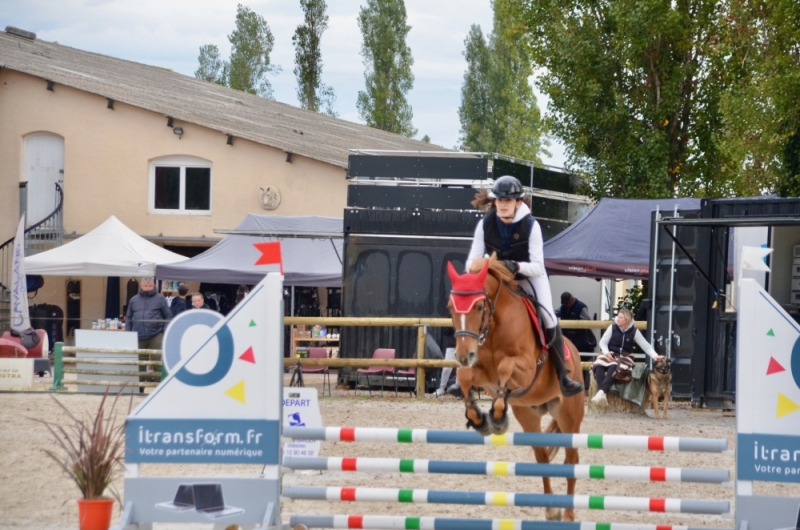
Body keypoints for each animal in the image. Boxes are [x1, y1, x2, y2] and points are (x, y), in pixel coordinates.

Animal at [446, 255, 584, 520]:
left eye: (479, 308)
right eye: (450, 307)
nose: (463, 355)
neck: (492, 326)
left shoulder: (527, 369)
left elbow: (505, 366)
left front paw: (498, 415)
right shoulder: (482, 374)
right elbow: (465, 375)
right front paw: (479, 418)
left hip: (569, 417)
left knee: (571, 460)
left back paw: (570, 514)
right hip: (528, 415)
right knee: (542, 457)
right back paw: (551, 509)